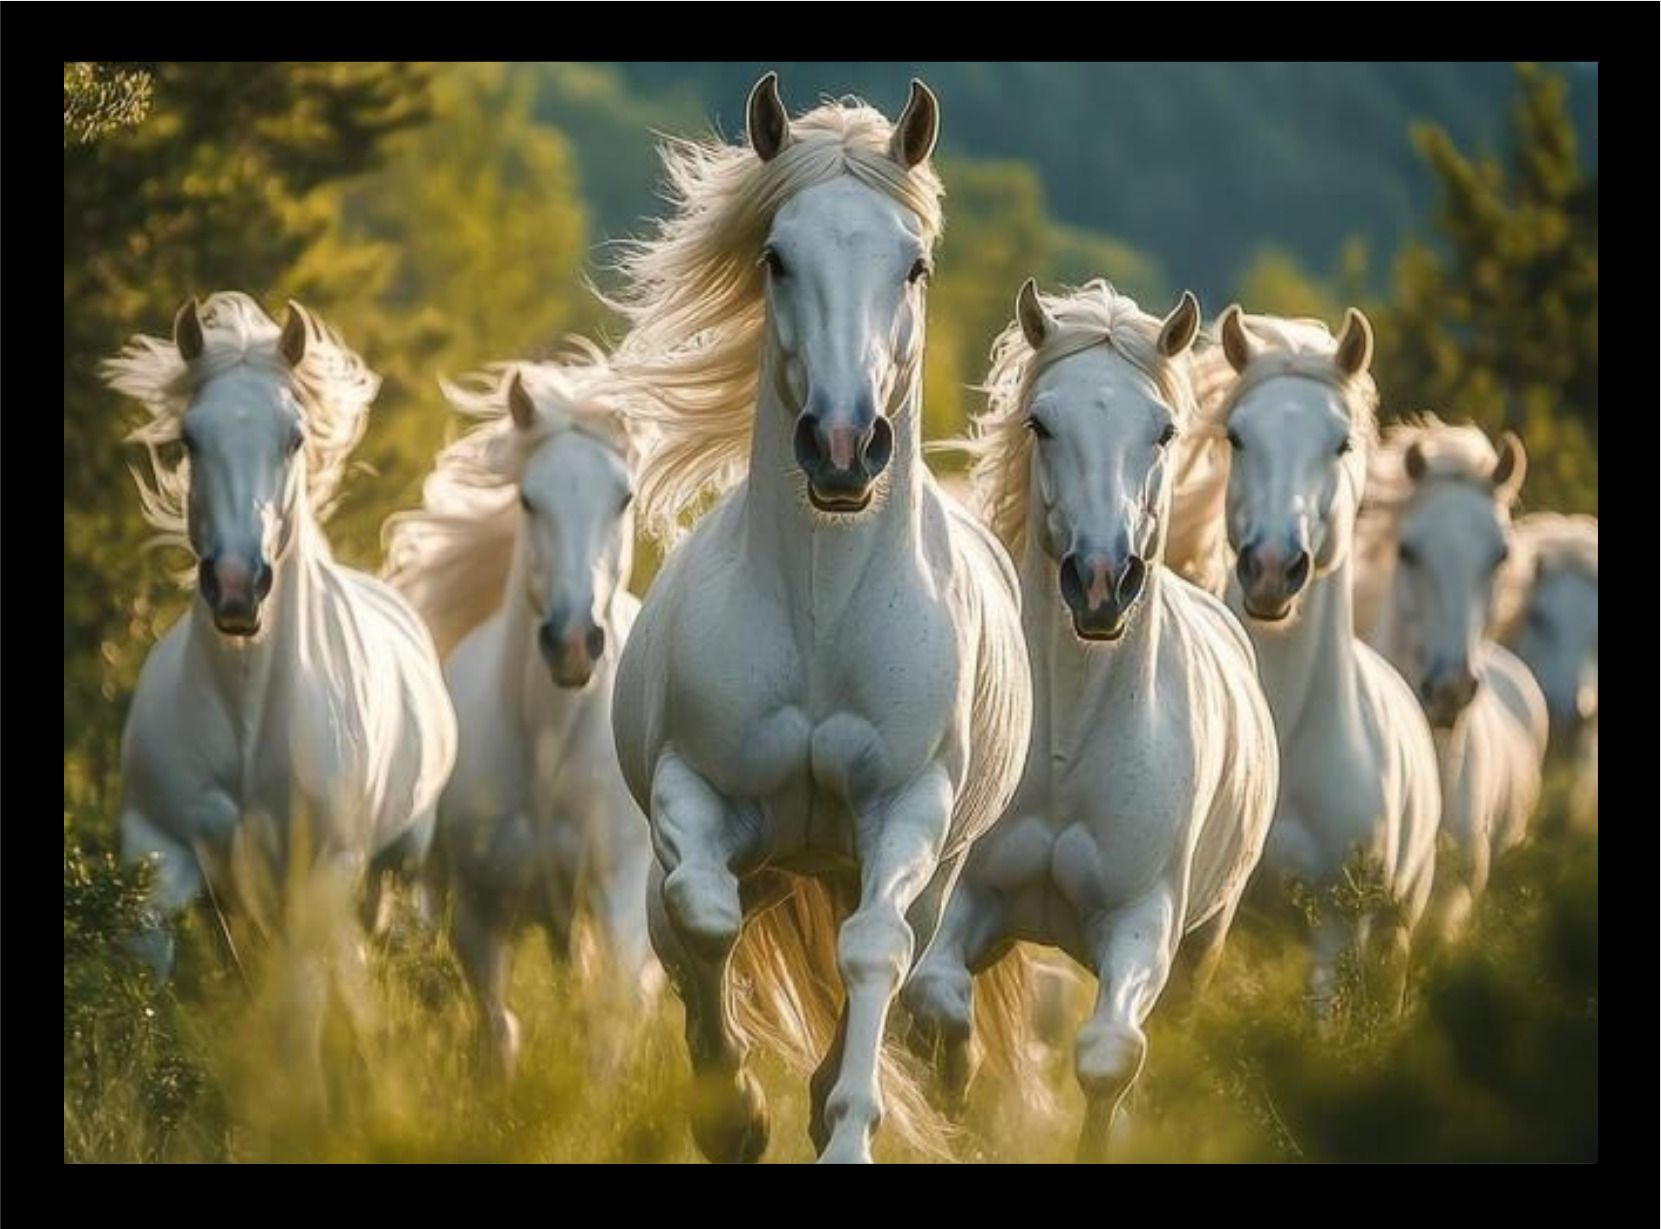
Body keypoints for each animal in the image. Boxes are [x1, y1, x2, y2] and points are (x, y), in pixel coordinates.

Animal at [102, 293, 457, 1075]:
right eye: (189, 438)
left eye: (293, 439)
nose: (237, 586)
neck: (247, 714)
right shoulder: (162, 852)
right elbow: (149, 985)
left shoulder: (319, 871)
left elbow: (298, 1009)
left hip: (391, 869)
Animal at [381, 350, 658, 1075]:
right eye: (530, 500)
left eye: (623, 499)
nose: (572, 642)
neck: (547, 750)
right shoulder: (480, 915)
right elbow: (499, 1031)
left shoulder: (617, 896)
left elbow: (608, 1031)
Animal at [603, 74, 1032, 1163]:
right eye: (775, 256)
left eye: (914, 264)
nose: (842, 448)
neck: (820, 613)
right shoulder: (692, 788)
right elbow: (703, 918)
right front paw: (733, 1111)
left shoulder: (909, 808)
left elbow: (871, 952)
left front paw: (837, 1123)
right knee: (685, 928)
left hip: (921, 870)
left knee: (890, 946)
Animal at [903, 279, 1279, 1160]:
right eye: (1042, 422)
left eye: (1163, 429)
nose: (1101, 581)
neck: (1069, 742)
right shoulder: (971, 897)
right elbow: (938, 1002)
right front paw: (958, 1103)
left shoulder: (1141, 924)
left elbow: (1109, 1056)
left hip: (1199, 949)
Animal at [1176, 305, 1441, 1017]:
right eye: (1238, 436)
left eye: (1341, 444)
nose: (1272, 567)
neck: (1287, 737)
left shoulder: (1336, 931)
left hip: (1394, 937)